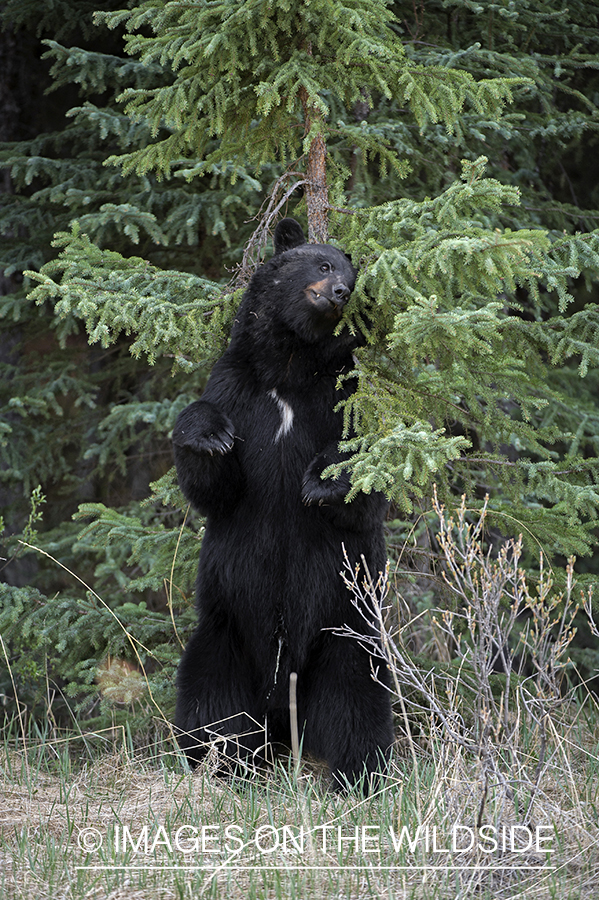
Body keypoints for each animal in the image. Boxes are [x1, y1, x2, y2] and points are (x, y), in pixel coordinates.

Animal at [172, 218, 394, 788]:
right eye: (322, 263)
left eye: (353, 277)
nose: (340, 292)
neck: (293, 367)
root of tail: (280, 707)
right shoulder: (238, 386)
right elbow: (215, 487)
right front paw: (208, 436)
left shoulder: (342, 395)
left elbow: (366, 467)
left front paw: (319, 481)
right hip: (225, 625)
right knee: (212, 697)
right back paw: (218, 761)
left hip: (345, 628)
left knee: (355, 700)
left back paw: (359, 773)